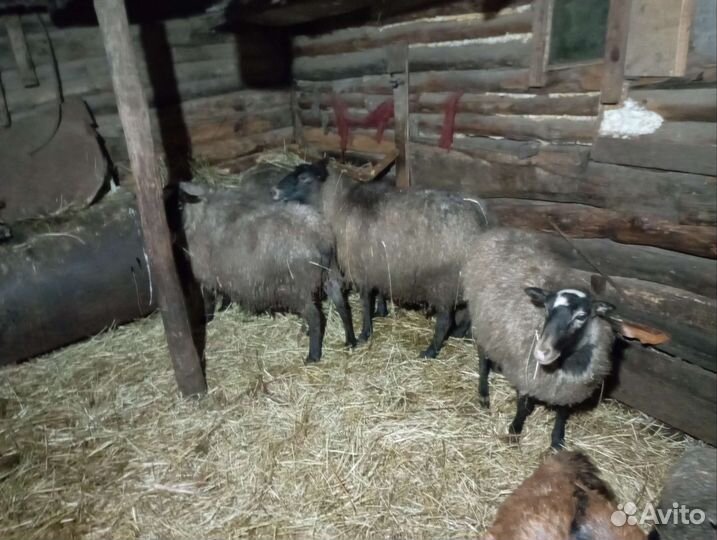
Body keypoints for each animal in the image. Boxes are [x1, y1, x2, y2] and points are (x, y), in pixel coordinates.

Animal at [177, 181, 356, 362]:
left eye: (177, 204)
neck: (198, 214)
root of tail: (320, 237)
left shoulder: (204, 273)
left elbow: (208, 300)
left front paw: (207, 318)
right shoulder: (221, 271)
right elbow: (223, 291)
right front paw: (224, 307)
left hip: (298, 286)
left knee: (315, 316)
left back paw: (313, 355)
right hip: (330, 273)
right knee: (342, 304)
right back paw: (350, 340)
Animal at [272, 159, 489, 358]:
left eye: (304, 178)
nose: (275, 191)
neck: (340, 204)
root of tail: (479, 222)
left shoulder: (362, 268)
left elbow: (365, 301)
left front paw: (364, 333)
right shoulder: (379, 264)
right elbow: (379, 292)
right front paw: (381, 311)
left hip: (443, 283)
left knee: (445, 321)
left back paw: (430, 351)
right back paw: (460, 334)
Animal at [463, 227, 616, 449]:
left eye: (581, 316)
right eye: (546, 308)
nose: (541, 352)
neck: (566, 363)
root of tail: (502, 231)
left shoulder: (568, 387)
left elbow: (563, 412)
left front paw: (557, 441)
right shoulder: (525, 372)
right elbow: (523, 406)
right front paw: (514, 431)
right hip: (482, 321)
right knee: (483, 358)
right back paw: (483, 394)